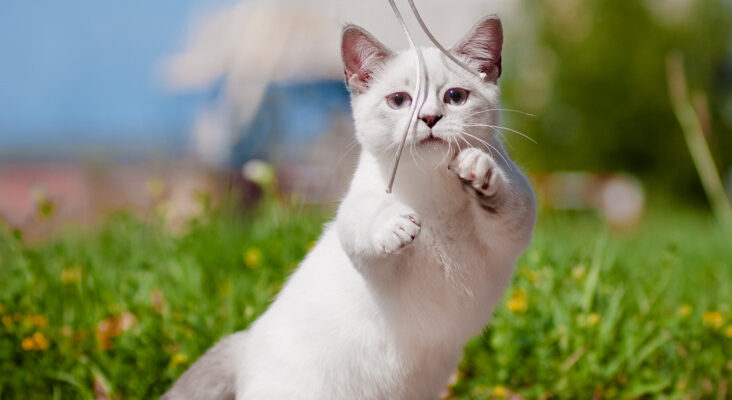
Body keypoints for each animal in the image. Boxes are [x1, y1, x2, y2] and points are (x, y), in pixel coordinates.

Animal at [163, 15, 536, 400]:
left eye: (454, 97)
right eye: (399, 100)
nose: (430, 118)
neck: (431, 187)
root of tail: (245, 343)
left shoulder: (515, 225)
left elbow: (507, 198)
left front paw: (478, 169)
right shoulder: (369, 249)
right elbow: (365, 225)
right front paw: (396, 226)